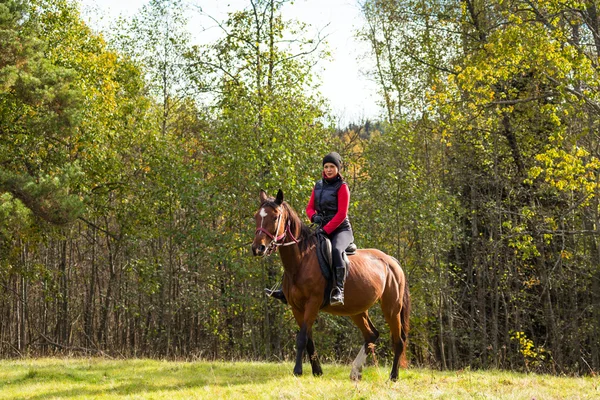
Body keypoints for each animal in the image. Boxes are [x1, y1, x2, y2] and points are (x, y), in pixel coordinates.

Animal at [251, 189, 410, 380]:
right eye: (256, 217)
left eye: (275, 217)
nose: (257, 248)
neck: (301, 261)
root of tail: (392, 261)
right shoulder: (296, 307)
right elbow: (308, 339)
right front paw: (317, 371)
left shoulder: (312, 303)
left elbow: (302, 338)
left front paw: (298, 371)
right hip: (356, 309)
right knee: (371, 334)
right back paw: (355, 371)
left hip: (391, 308)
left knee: (398, 340)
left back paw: (393, 376)